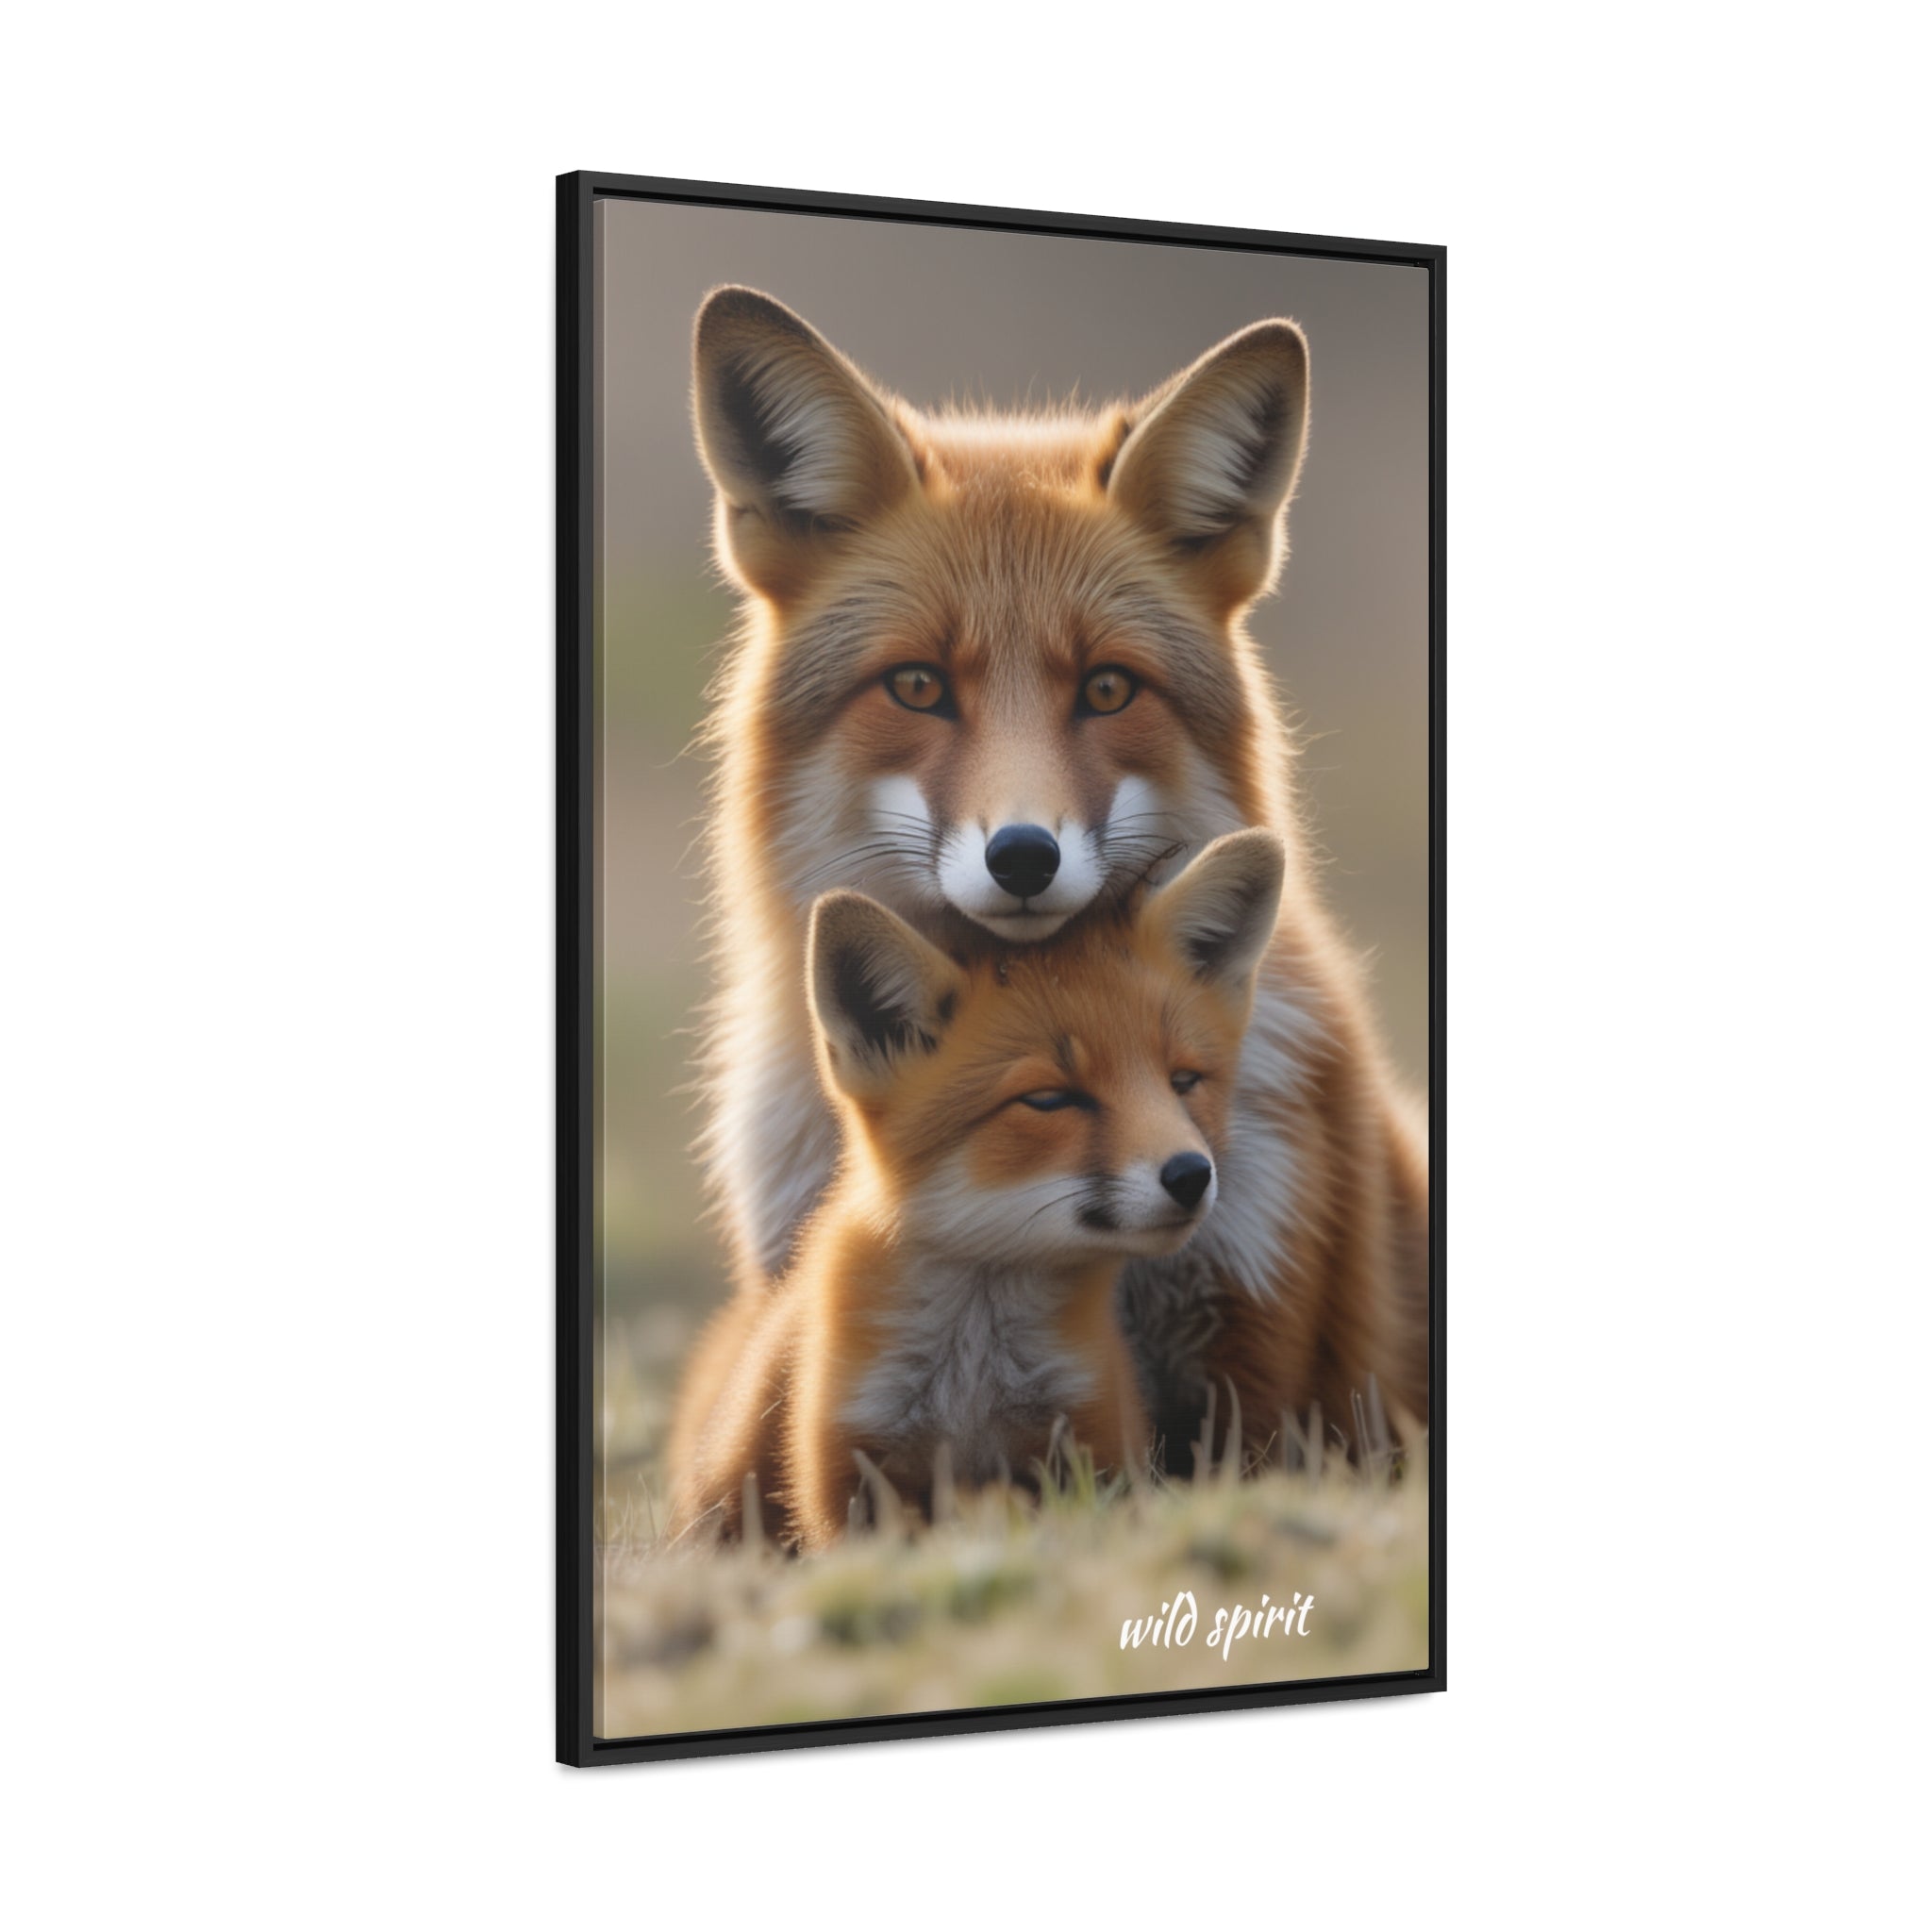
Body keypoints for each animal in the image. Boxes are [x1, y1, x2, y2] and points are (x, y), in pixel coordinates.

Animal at [668, 831, 1286, 1547]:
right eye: (1049, 1099)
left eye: (1183, 1082)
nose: (1191, 1174)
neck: (973, 1379)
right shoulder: (846, 1473)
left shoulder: (1092, 1442)